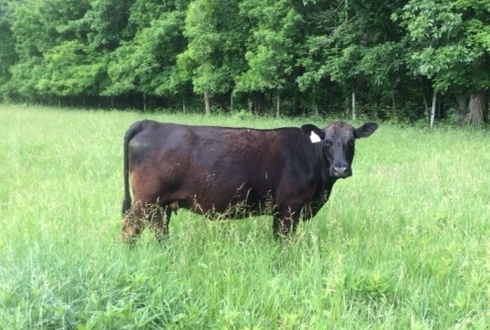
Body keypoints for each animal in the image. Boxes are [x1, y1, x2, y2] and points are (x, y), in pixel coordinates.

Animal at [120, 119, 378, 242]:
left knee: (159, 230)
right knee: (129, 229)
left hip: (160, 205)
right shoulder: (290, 208)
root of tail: (151, 123)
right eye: (327, 142)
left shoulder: (279, 210)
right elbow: (285, 240)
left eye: (351, 142)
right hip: (145, 200)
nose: (340, 168)